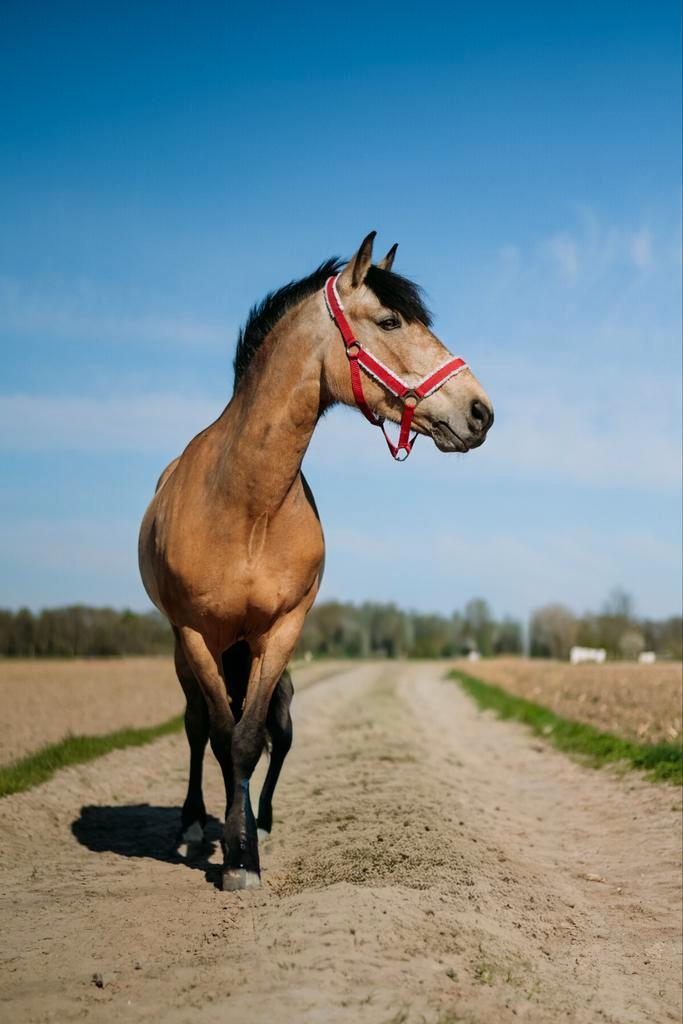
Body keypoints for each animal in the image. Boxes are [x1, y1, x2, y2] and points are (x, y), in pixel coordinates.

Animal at [138, 232, 493, 890]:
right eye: (390, 320)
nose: (480, 410)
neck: (247, 504)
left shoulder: (282, 629)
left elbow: (251, 738)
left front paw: (245, 853)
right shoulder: (197, 633)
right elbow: (222, 736)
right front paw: (231, 855)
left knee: (271, 731)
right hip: (187, 645)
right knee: (198, 727)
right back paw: (195, 823)